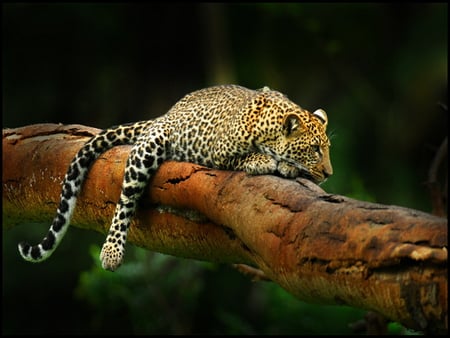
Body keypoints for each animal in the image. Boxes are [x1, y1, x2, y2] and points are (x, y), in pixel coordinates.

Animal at [17, 84, 332, 272]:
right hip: (149, 148)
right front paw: (265, 160)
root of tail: (166, 113)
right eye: (315, 149)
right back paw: (111, 251)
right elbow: (242, 158)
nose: (329, 173)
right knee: (125, 200)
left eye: (327, 148)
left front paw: (289, 166)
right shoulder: (217, 149)